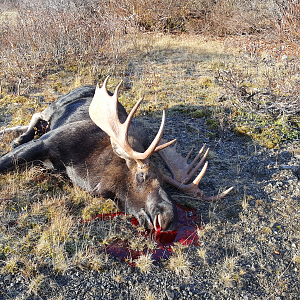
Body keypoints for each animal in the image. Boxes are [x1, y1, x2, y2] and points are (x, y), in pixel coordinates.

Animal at [0, 78, 232, 232]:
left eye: (165, 183)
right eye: (141, 176)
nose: (167, 218)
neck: (86, 170)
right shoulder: (48, 142)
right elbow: (6, 161)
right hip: (56, 104)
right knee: (38, 114)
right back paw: (16, 136)